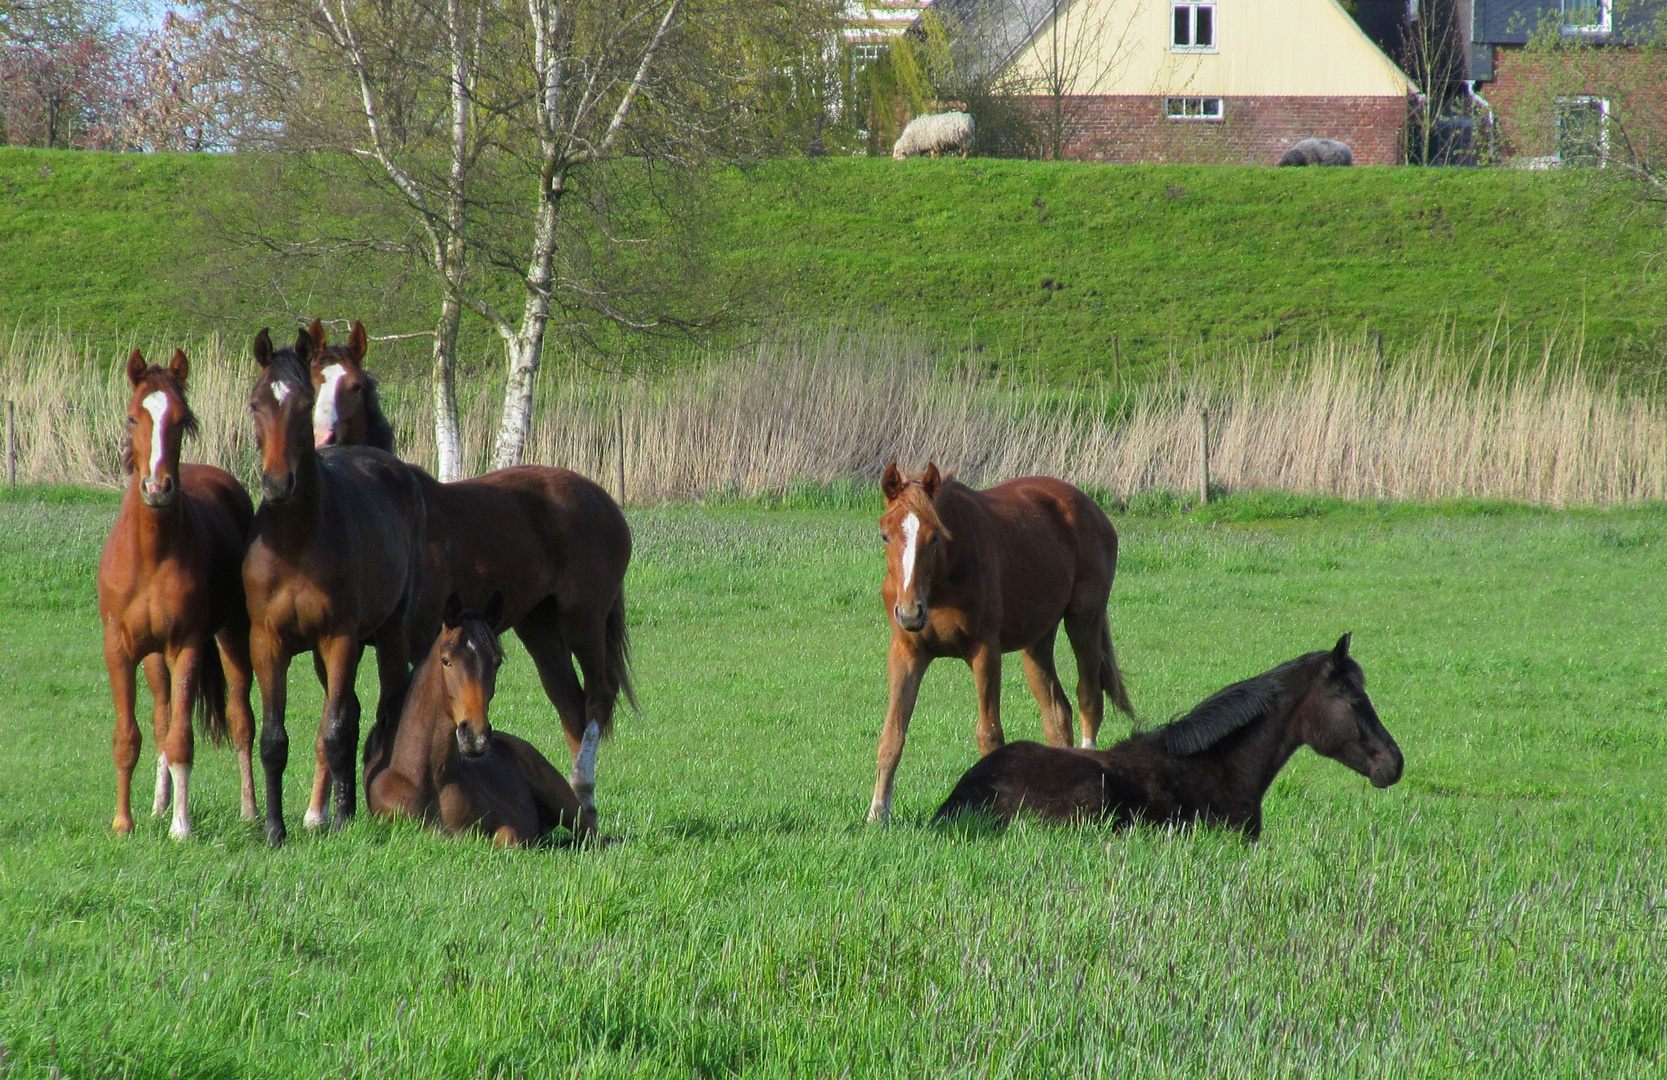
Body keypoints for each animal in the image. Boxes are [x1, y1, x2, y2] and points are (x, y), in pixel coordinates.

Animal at [98, 350, 256, 840]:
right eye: (133, 417)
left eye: (181, 420)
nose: (157, 487)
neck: (150, 554)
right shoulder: (120, 649)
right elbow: (129, 736)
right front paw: (123, 823)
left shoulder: (185, 646)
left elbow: (183, 738)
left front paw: (182, 827)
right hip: (153, 660)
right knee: (162, 718)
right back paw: (158, 805)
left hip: (232, 638)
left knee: (241, 720)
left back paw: (250, 811)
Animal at [241, 325, 426, 846]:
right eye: (256, 402)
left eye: (303, 403)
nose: (278, 483)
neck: (296, 540)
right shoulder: (267, 642)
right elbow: (275, 738)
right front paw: (274, 829)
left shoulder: (339, 638)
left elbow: (335, 731)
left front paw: (341, 819)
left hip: (388, 634)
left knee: (384, 707)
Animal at [303, 316, 633, 830]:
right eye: (314, 381)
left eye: (354, 386)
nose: (325, 440)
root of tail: (603, 500)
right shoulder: (339, 643)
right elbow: (336, 715)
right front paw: (319, 813)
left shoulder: (399, 644)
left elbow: (386, 707)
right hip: (539, 627)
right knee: (569, 705)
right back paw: (583, 806)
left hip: (584, 620)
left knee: (596, 699)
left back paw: (584, 791)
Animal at [866, 460, 1140, 823]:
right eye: (886, 535)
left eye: (934, 536)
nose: (910, 613)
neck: (941, 580)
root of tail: (1091, 507)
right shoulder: (907, 653)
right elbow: (892, 735)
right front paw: (878, 814)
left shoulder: (985, 652)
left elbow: (989, 734)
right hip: (1037, 642)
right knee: (1057, 713)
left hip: (1084, 621)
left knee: (1089, 699)